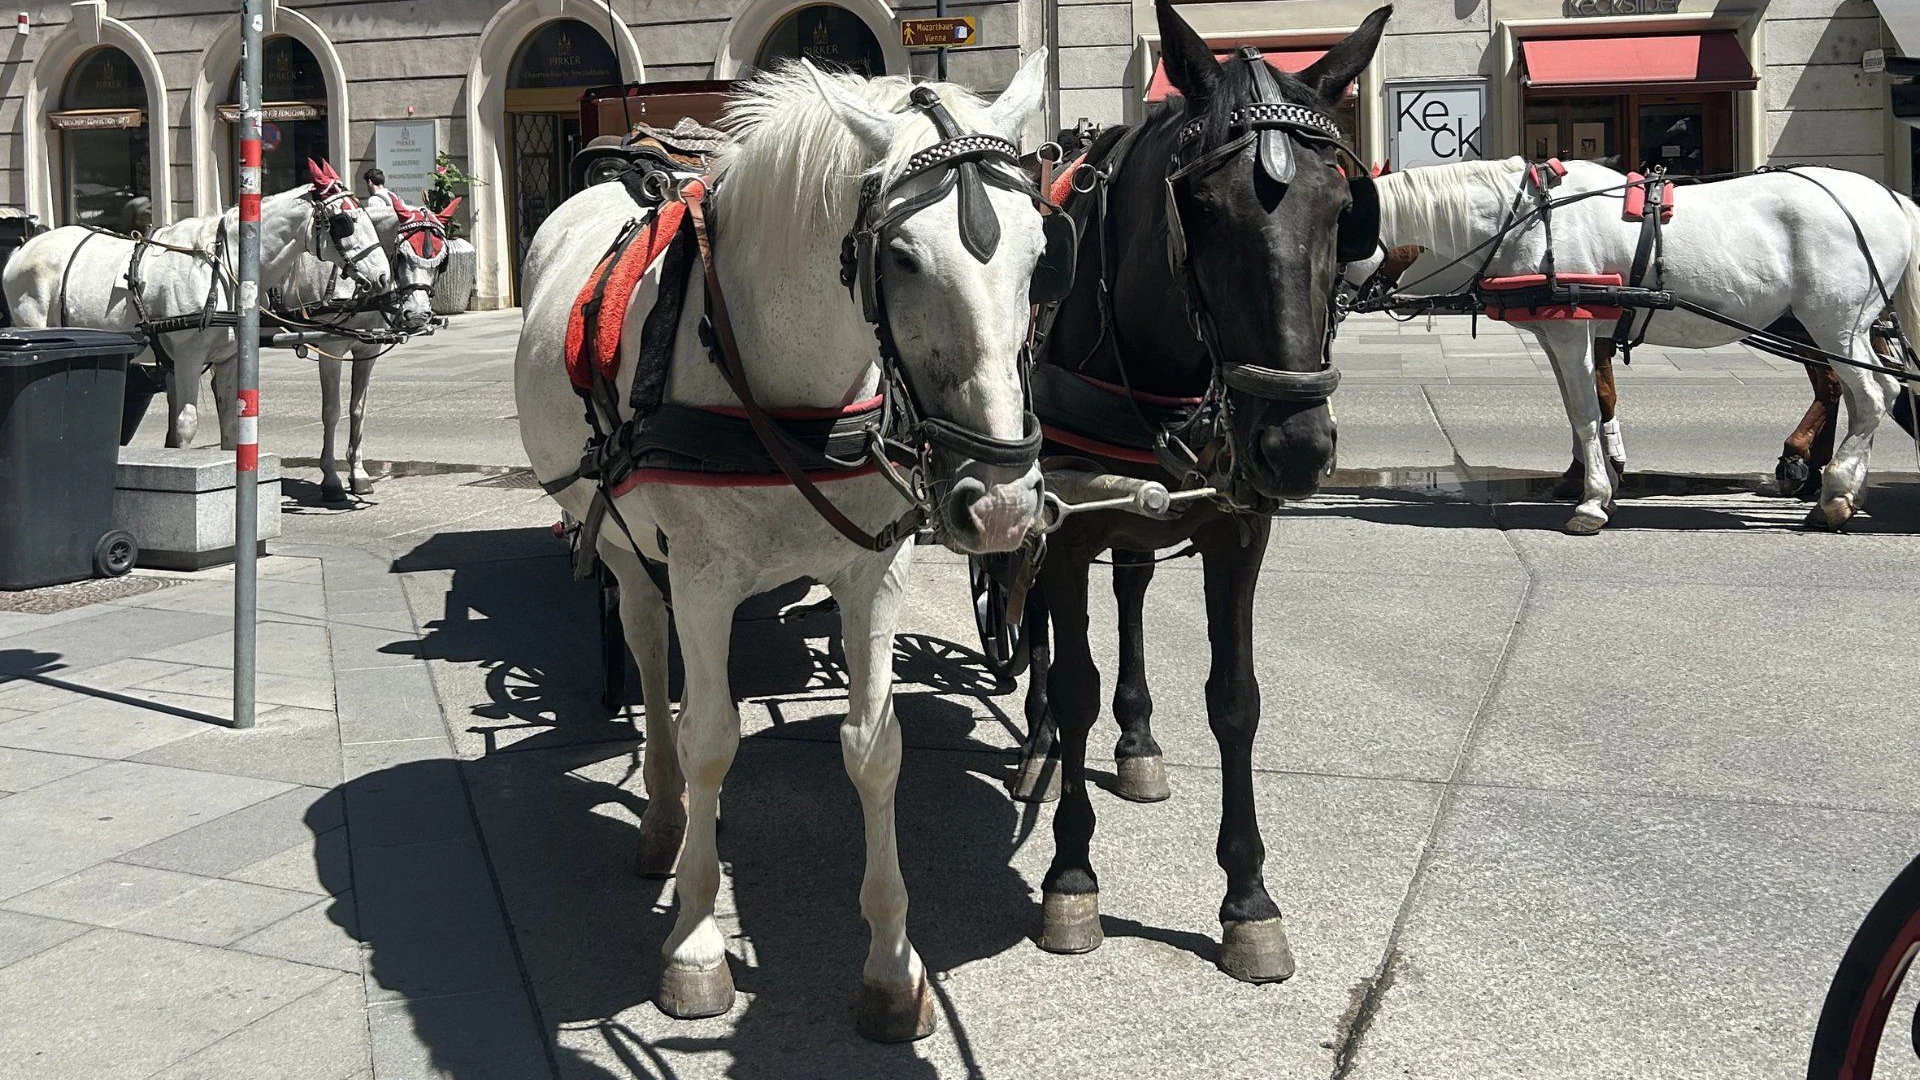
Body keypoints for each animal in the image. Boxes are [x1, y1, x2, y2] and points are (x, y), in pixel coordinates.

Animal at [0, 160, 392, 450]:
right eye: (345, 222)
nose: (384, 277)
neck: (226, 267)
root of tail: (21, 250)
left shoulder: (230, 358)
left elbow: (233, 426)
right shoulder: (187, 358)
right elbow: (185, 426)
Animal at [274, 193, 454, 500]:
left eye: (442, 262)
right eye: (401, 255)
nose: (417, 315)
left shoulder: (367, 351)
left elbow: (358, 409)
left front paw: (357, 473)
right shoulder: (331, 350)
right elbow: (332, 411)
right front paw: (331, 478)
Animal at [515, 57, 1053, 1039]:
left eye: (1042, 253)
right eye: (903, 258)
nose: (1000, 505)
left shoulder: (872, 573)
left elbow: (874, 748)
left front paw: (891, 967)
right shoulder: (702, 578)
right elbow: (712, 738)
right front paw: (695, 945)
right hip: (619, 541)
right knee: (650, 654)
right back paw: (665, 819)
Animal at [1008, 0, 1389, 984]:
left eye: (1345, 211)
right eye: (1204, 210)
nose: (1296, 449)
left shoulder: (1235, 526)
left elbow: (1235, 698)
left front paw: (1248, 898)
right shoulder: (1065, 529)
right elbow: (1074, 680)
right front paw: (1070, 876)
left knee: (1135, 587)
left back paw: (1136, 740)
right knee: (1032, 622)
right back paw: (1038, 742)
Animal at [1368, 157, 1920, 533]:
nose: (1350, 300)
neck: (1528, 218)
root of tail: (1893, 199)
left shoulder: (1571, 329)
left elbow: (1587, 411)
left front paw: (1592, 499)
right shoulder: (1563, 332)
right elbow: (1582, 406)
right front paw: (1596, 481)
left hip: (1835, 322)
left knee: (1871, 395)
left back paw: (1833, 491)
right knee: (1868, 396)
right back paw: (1843, 489)